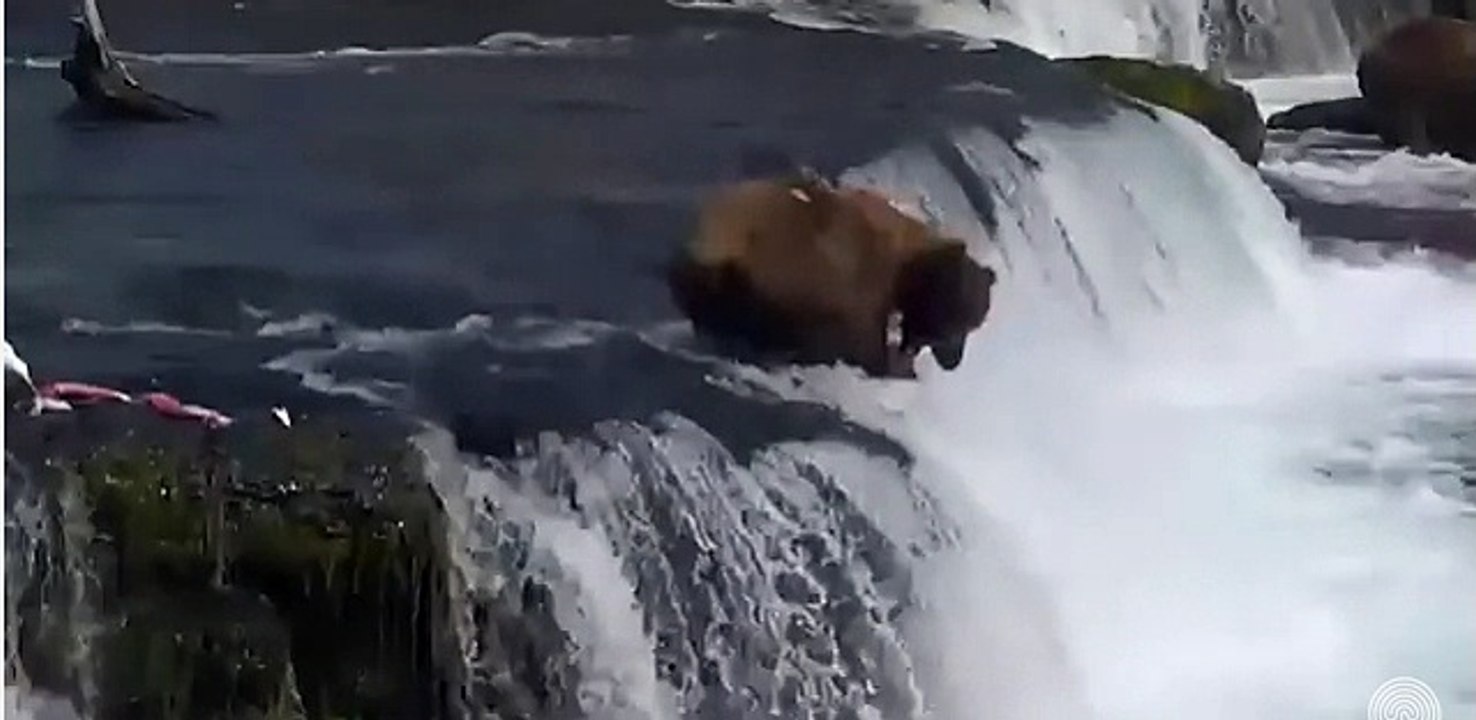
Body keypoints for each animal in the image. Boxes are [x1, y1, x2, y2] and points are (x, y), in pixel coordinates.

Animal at [666, 173, 997, 378]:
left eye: (974, 322)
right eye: (959, 317)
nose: (953, 360)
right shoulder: (856, 282)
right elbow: (866, 339)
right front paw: (895, 365)